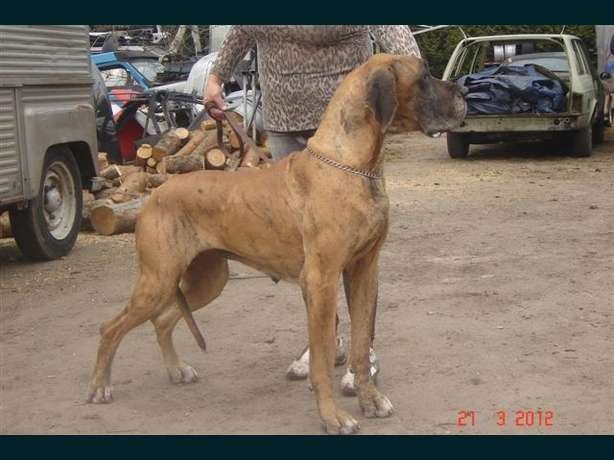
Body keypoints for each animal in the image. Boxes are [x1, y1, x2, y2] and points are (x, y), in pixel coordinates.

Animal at [87, 54, 466, 434]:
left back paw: (177, 370)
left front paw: (369, 399)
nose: (463, 90)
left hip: (207, 279)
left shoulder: (364, 271)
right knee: (110, 327)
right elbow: (322, 360)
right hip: (159, 280)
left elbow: (361, 343)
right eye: (423, 78)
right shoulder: (321, 281)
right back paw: (100, 386)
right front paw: (332, 417)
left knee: (163, 320)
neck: (352, 164)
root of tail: (156, 194)